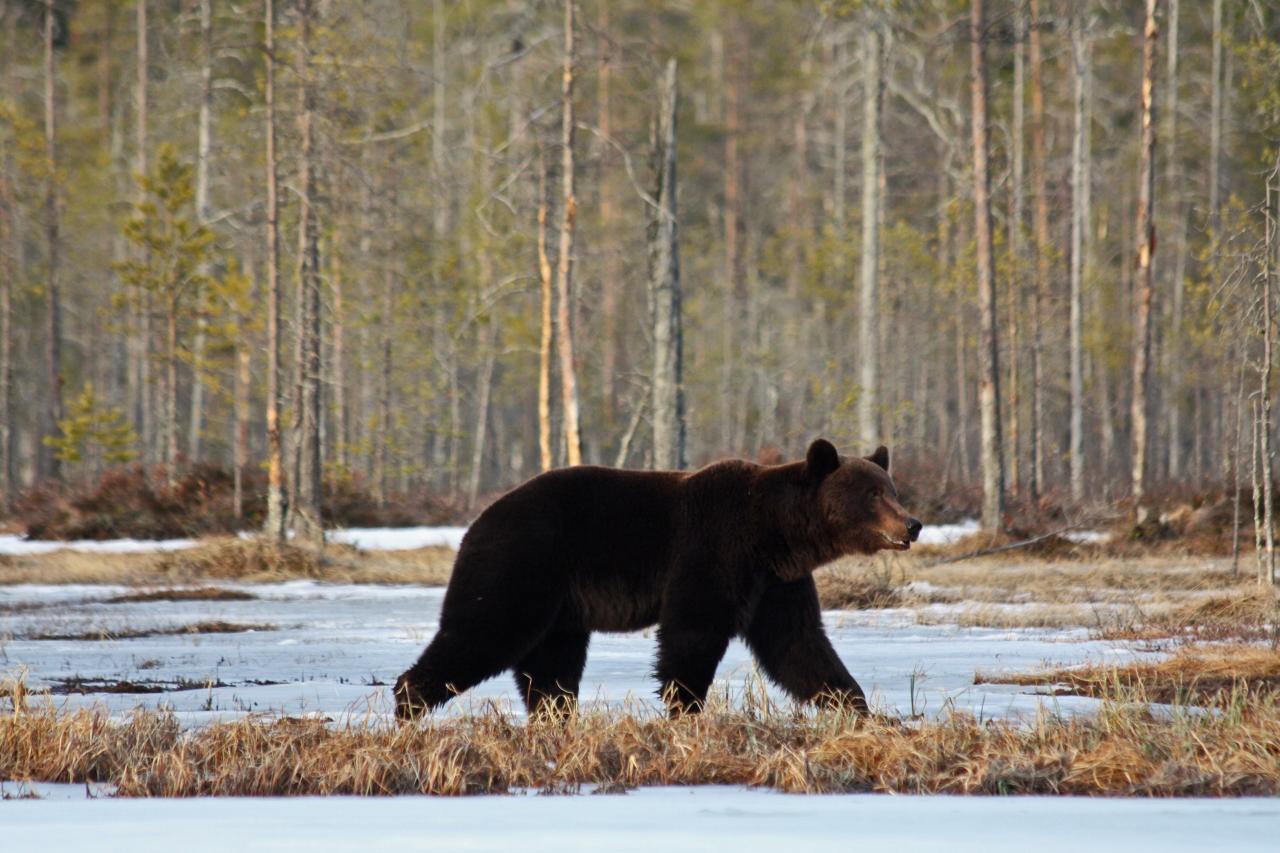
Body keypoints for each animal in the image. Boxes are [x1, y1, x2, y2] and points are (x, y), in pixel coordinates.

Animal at [394, 438, 916, 717]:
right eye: (872, 495)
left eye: (891, 489)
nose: (912, 524)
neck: (774, 533)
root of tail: (477, 521)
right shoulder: (713, 551)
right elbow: (692, 633)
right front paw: (684, 709)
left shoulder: (777, 582)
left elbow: (799, 646)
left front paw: (861, 709)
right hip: (521, 563)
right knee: (482, 631)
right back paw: (407, 704)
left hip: (560, 605)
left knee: (551, 669)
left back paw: (556, 719)